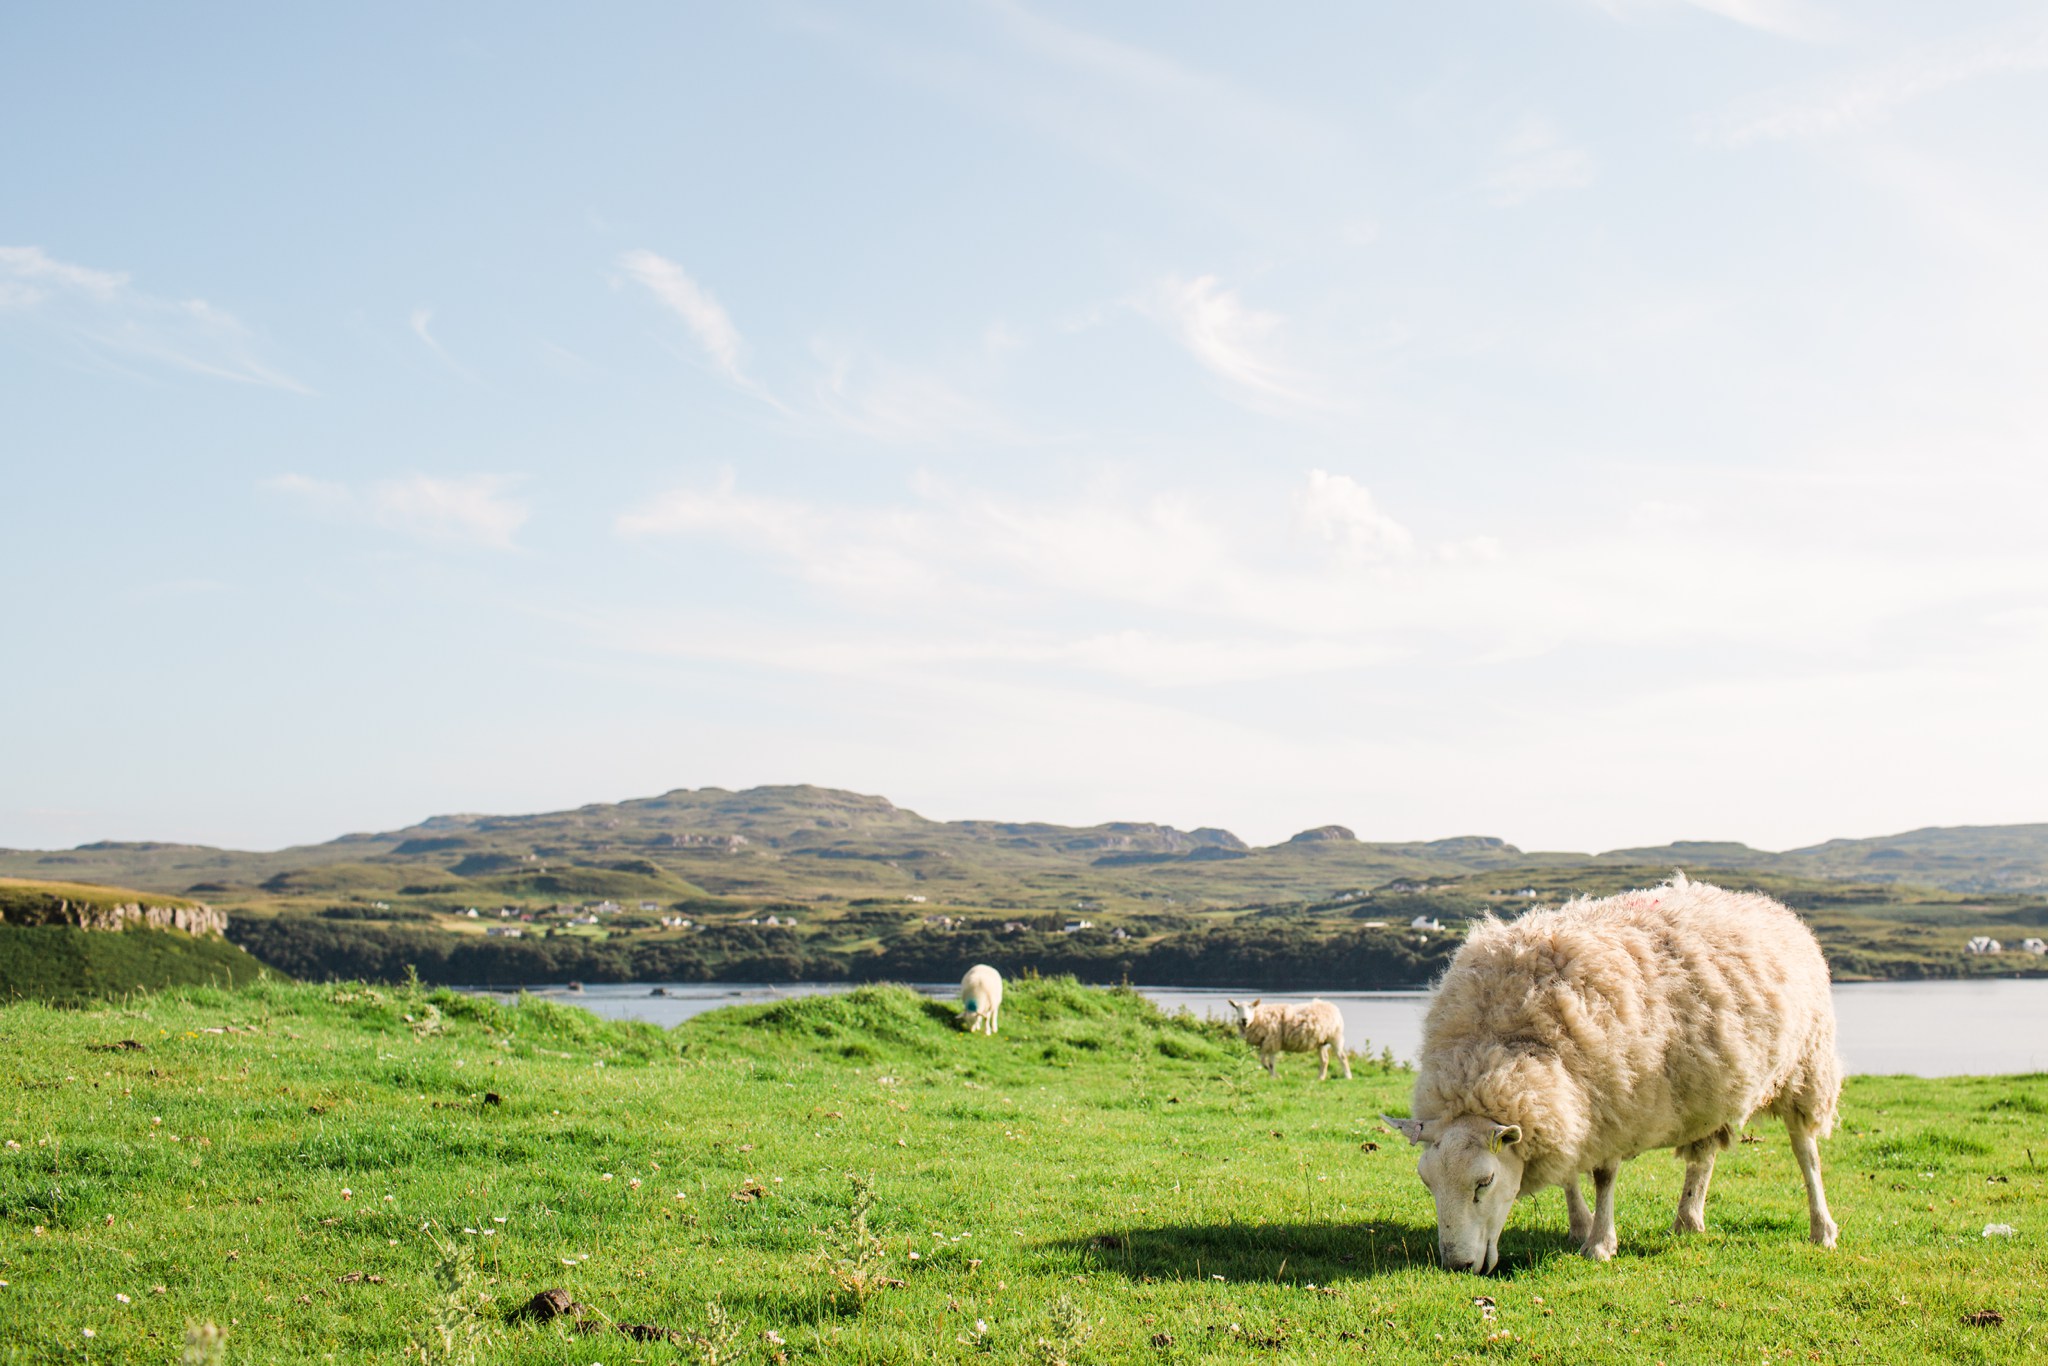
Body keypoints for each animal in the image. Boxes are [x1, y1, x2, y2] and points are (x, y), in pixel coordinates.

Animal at [1220, 1003, 1351, 1081]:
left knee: (1342, 1057)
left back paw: (1347, 1076)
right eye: (1237, 1009)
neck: (1258, 1018)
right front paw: (1273, 1075)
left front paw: (1274, 1076)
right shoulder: (1267, 1044)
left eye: (1251, 1008)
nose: (1244, 1020)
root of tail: (1333, 1007)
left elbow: (1268, 1062)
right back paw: (1320, 1077)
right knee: (1324, 1060)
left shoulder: (1271, 1042)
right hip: (1321, 1041)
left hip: (1335, 1037)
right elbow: (1265, 1062)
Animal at [1392, 876, 1843, 1269]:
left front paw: (1599, 1244)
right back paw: (1688, 1219)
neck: (1503, 1043)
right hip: (1711, 1085)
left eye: (1484, 1182)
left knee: (1806, 1153)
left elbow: (1603, 1177)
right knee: (1703, 1155)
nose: (1457, 1265)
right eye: (1427, 1183)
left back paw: (1821, 1229)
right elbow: (1569, 1175)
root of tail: (1769, 905)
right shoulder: (1572, 1104)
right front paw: (1580, 1226)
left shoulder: (1612, 1100)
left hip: (1805, 1068)